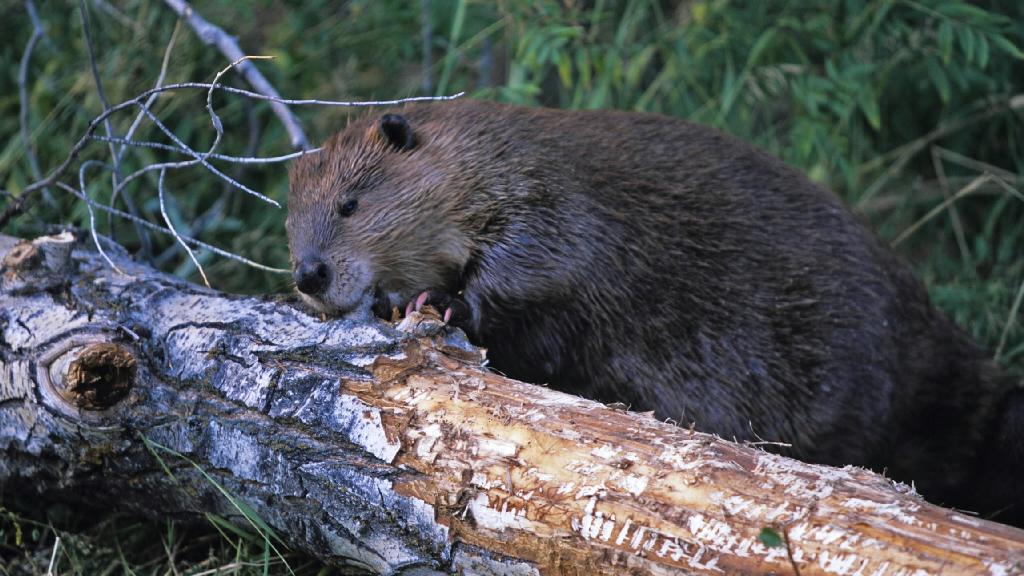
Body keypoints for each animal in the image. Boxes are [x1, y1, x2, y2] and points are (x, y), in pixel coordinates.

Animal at [288, 99, 1024, 524]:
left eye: (351, 203)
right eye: (291, 218)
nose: (308, 274)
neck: (484, 153)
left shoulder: (554, 198)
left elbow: (541, 267)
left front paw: (435, 299)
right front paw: (395, 300)